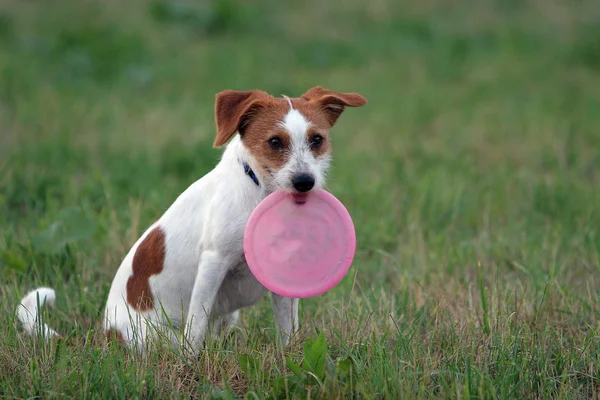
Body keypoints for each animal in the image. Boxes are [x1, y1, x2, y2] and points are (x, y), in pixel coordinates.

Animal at [17, 85, 366, 354]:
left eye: (317, 140)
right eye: (275, 142)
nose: (305, 182)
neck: (259, 190)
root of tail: (105, 334)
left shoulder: (280, 278)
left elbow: (286, 326)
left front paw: (288, 357)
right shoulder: (213, 263)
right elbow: (196, 327)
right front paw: (190, 366)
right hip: (153, 337)